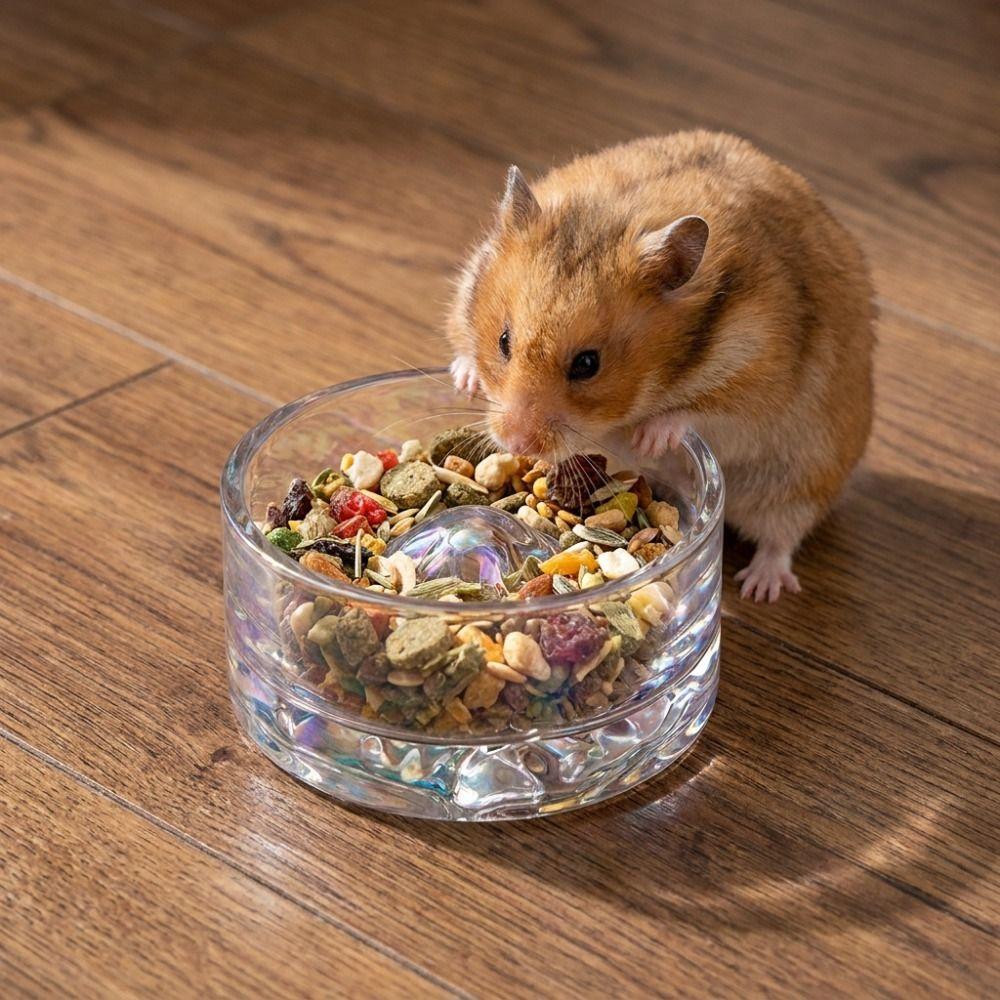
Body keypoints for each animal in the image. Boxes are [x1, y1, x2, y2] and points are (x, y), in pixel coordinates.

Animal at [446, 131, 875, 601]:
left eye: (588, 364)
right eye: (503, 341)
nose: (516, 443)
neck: (665, 376)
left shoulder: (757, 381)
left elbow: (699, 412)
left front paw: (650, 439)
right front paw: (465, 379)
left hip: (799, 481)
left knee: (781, 538)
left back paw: (760, 587)